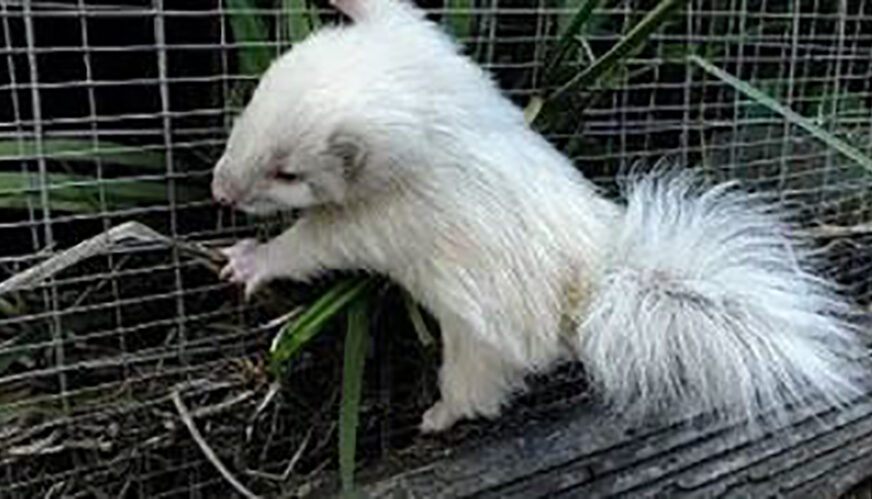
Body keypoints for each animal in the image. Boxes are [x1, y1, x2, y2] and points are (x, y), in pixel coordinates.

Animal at [211, 0, 868, 432]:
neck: (426, 109)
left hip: (478, 344)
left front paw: (247, 262)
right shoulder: (433, 50)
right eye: (253, 101)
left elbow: (316, 244)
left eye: (287, 173)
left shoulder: (385, 215)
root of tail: (595, 288)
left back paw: (434, 417)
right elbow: (404, 12)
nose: (220, 190)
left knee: (476, 390)